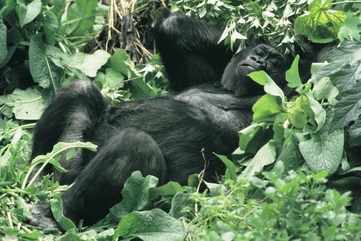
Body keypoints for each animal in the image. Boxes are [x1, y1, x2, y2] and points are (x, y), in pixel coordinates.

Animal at [29, 10, 286, 227]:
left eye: (273, 63)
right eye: (261, 54)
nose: (260, 61)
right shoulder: (203, 77)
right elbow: (175, 27)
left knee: (137, 145)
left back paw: (56, 214)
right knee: (80, 91)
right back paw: (38, 176)